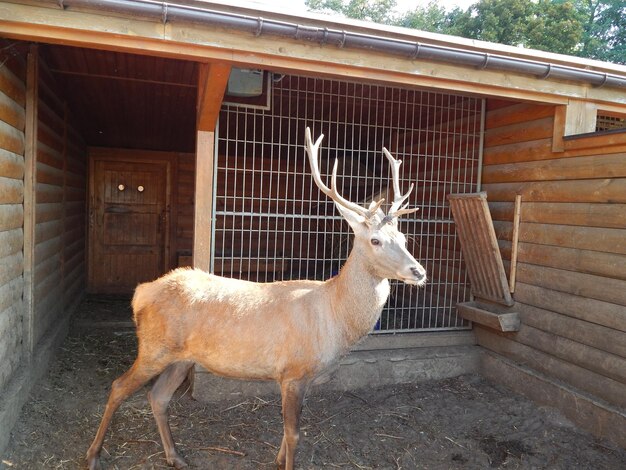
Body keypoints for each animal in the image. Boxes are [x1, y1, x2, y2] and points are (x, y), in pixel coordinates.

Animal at [85, 129, 424, 470]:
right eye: (375, 240)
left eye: (404, 238)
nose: (419, 271)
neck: (334, 320)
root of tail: (141, 293)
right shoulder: (294, 370)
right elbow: (294, 434)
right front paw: (285, 463)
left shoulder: (299, 377)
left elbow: (288, 432)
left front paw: (276, 460)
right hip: (154, 348)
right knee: (118, 387)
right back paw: (94, 454)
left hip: (181, 357)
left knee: (158, 396)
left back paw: (175, 456)